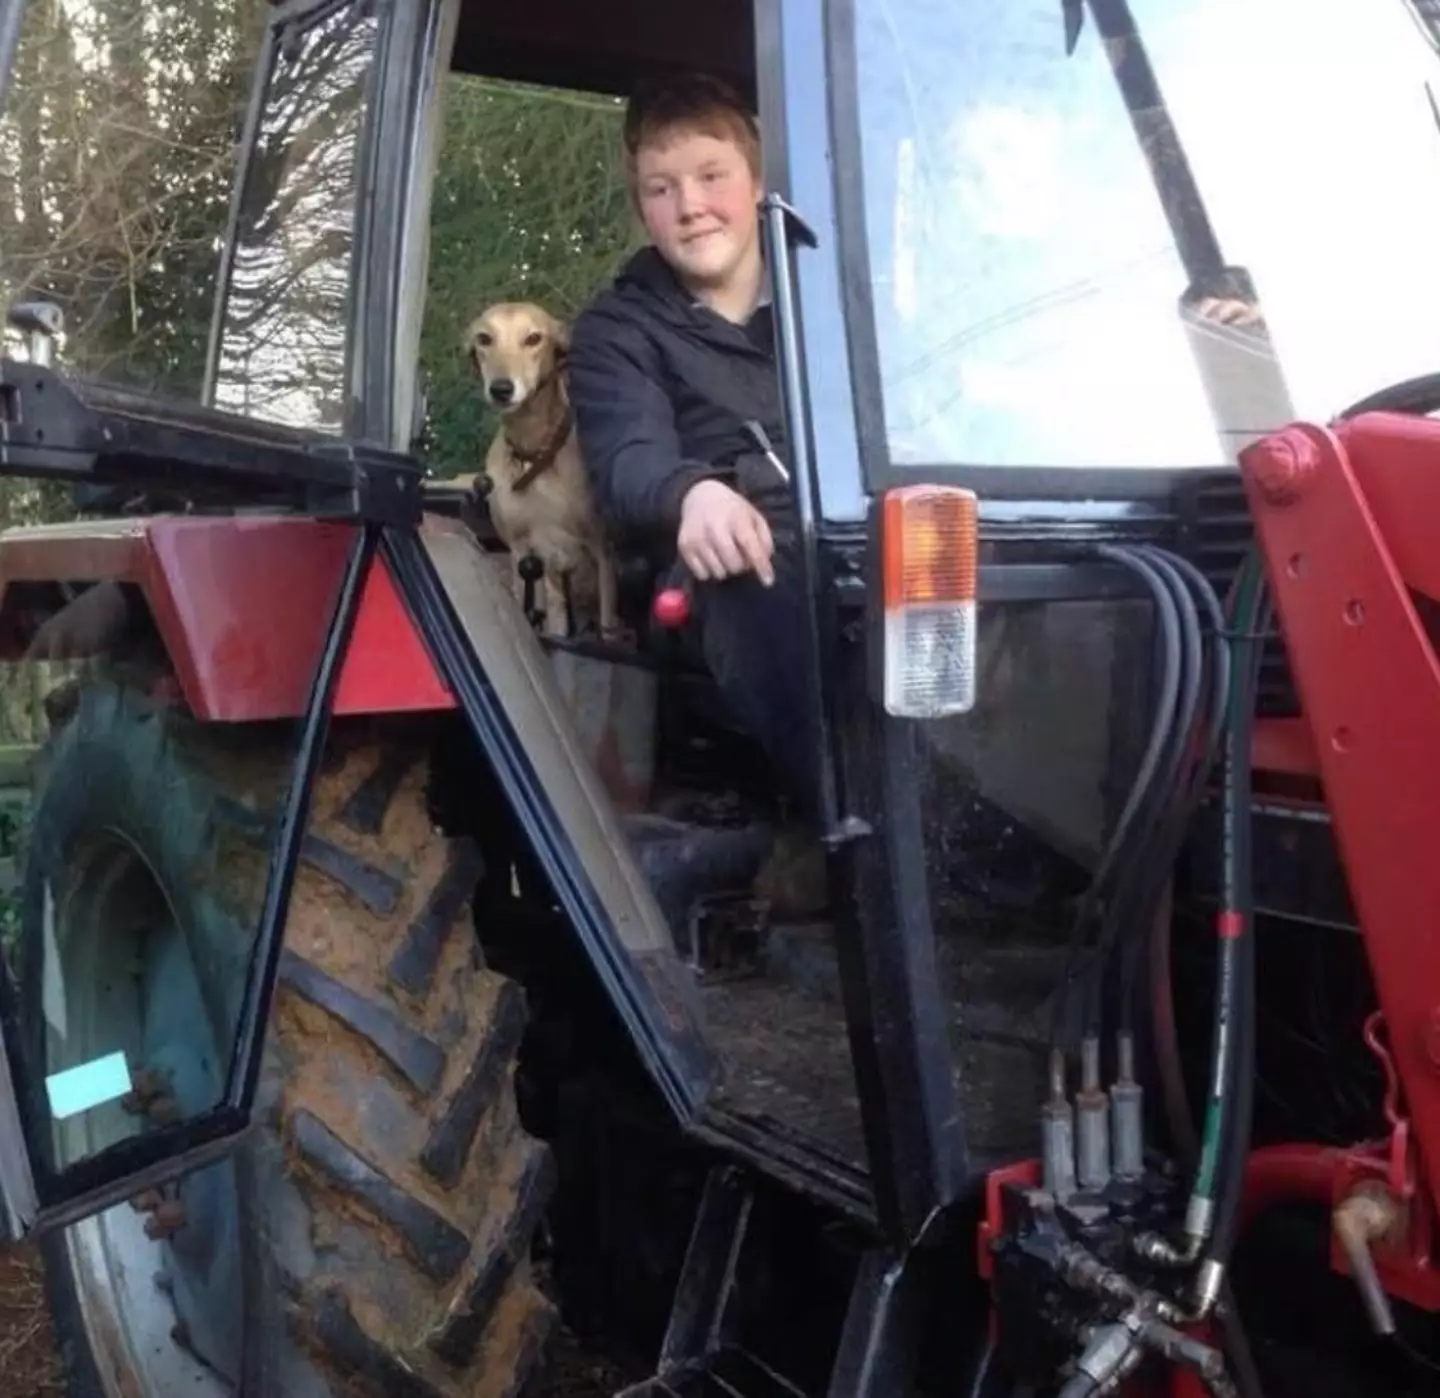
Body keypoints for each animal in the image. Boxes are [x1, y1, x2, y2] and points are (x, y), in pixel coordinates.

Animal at [460, 303, 619, 642]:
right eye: (484, 338)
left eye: (533, 338)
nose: (501, 389)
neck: (534, 456)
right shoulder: (524, 554)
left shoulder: (602, 552)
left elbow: (608, 626)